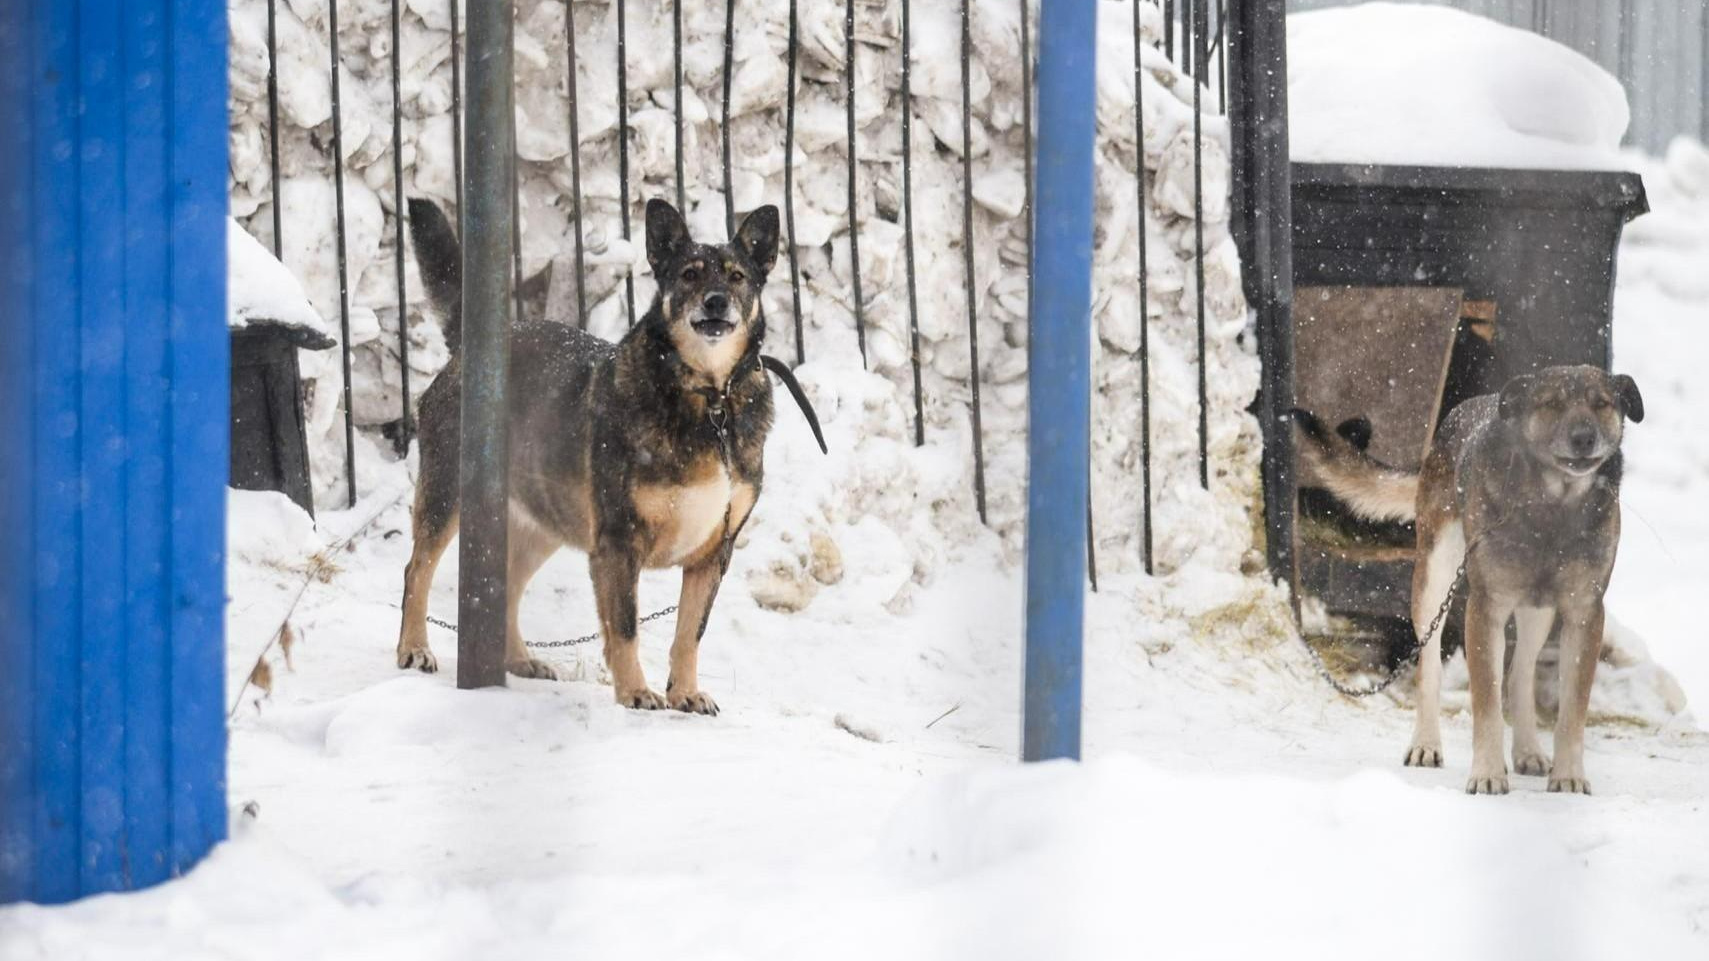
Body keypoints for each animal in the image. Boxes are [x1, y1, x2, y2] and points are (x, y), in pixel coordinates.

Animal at [396, 194, 779, 711]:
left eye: (737, 276)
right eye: (689, 274)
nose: (716, 301)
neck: (711, 400)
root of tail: (471, 347)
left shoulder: (714, 553)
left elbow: (688, 634)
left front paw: (685, 693)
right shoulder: (618, 542)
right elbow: (625, 627)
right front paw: (635, 692)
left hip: (546, 521)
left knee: (506, 585)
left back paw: (519, 660)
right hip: (447, 493)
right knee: (417, 570)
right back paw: (414, 648)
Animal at [1292, 362, 1640, 790]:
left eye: (1602, 403)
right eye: (1552, 403)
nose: (1583, 437)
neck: (1552, 509)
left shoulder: (1584, 613)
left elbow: (1571, 711)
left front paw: (1569, 776)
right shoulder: (1485, 609)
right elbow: (1486, 703)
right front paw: (1488, 774)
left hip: (1538, 609)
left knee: (1520, 673)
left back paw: (1528, 750)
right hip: (1435, 577)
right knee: (1429, 666)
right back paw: (1425, 745)